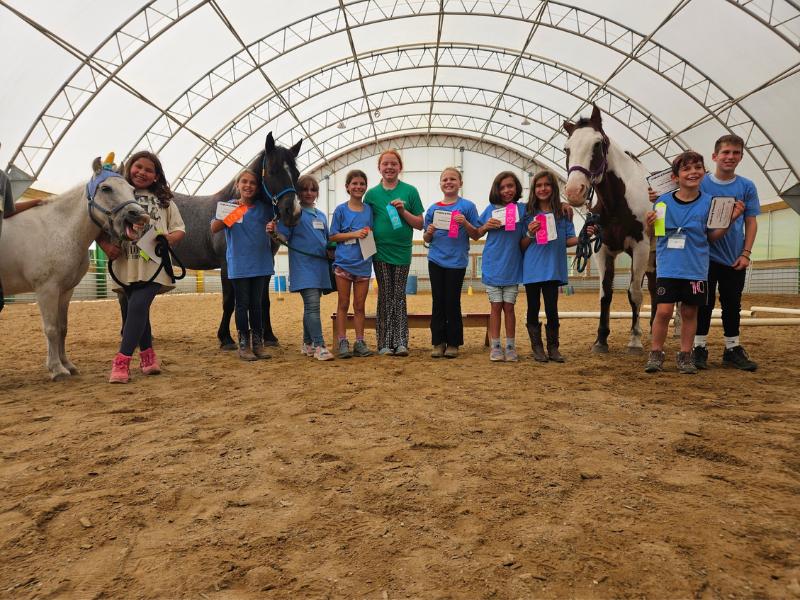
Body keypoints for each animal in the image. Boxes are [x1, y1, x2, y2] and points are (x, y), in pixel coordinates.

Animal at [0, 156, 148, 380]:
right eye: (106, 188)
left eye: (132, 190)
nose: (138, 215)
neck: (57, 228)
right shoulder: (46, 290)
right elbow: (51, 329)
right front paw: (56, 369)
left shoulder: (65, 291)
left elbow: (62, 328)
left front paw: (67, 364)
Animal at [560, 105, 652, 354]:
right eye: (567, 148)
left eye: (597, 144)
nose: (574, 191)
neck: (617, 202)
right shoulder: (602, 250)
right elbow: (605, 294)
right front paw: (600, 340)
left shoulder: (640, 248)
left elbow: (635, 294)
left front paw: (634, 340)